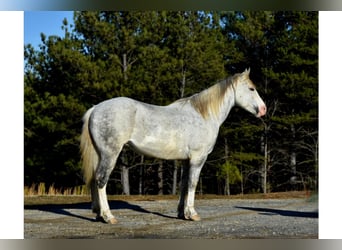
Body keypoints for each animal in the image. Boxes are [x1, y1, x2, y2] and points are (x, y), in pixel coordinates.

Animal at [81, 68, 268, 223]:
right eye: (251, 89)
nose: (263, 109)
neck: (203, 115)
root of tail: (95, 109)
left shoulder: (186, 160)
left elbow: (184, 185)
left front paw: (181, 213)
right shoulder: (198, 158)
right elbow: (192, 183)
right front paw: (192, 214)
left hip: (100, 154)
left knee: (94, 180)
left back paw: (99, 215)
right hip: (110, 154)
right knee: (101, 180)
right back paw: (108, 216)